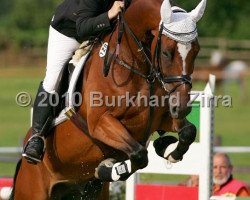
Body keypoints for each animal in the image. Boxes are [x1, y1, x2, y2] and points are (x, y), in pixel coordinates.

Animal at [10, 0, 206, 198]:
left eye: (196, 51)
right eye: (166, 53)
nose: (182, 107)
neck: (134, 66)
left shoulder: (158, 119)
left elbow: (188, 132)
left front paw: (168, 150)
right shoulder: (100, 123)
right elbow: (139, 155)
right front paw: (107, 169)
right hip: (33, 190)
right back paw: (34, 147)